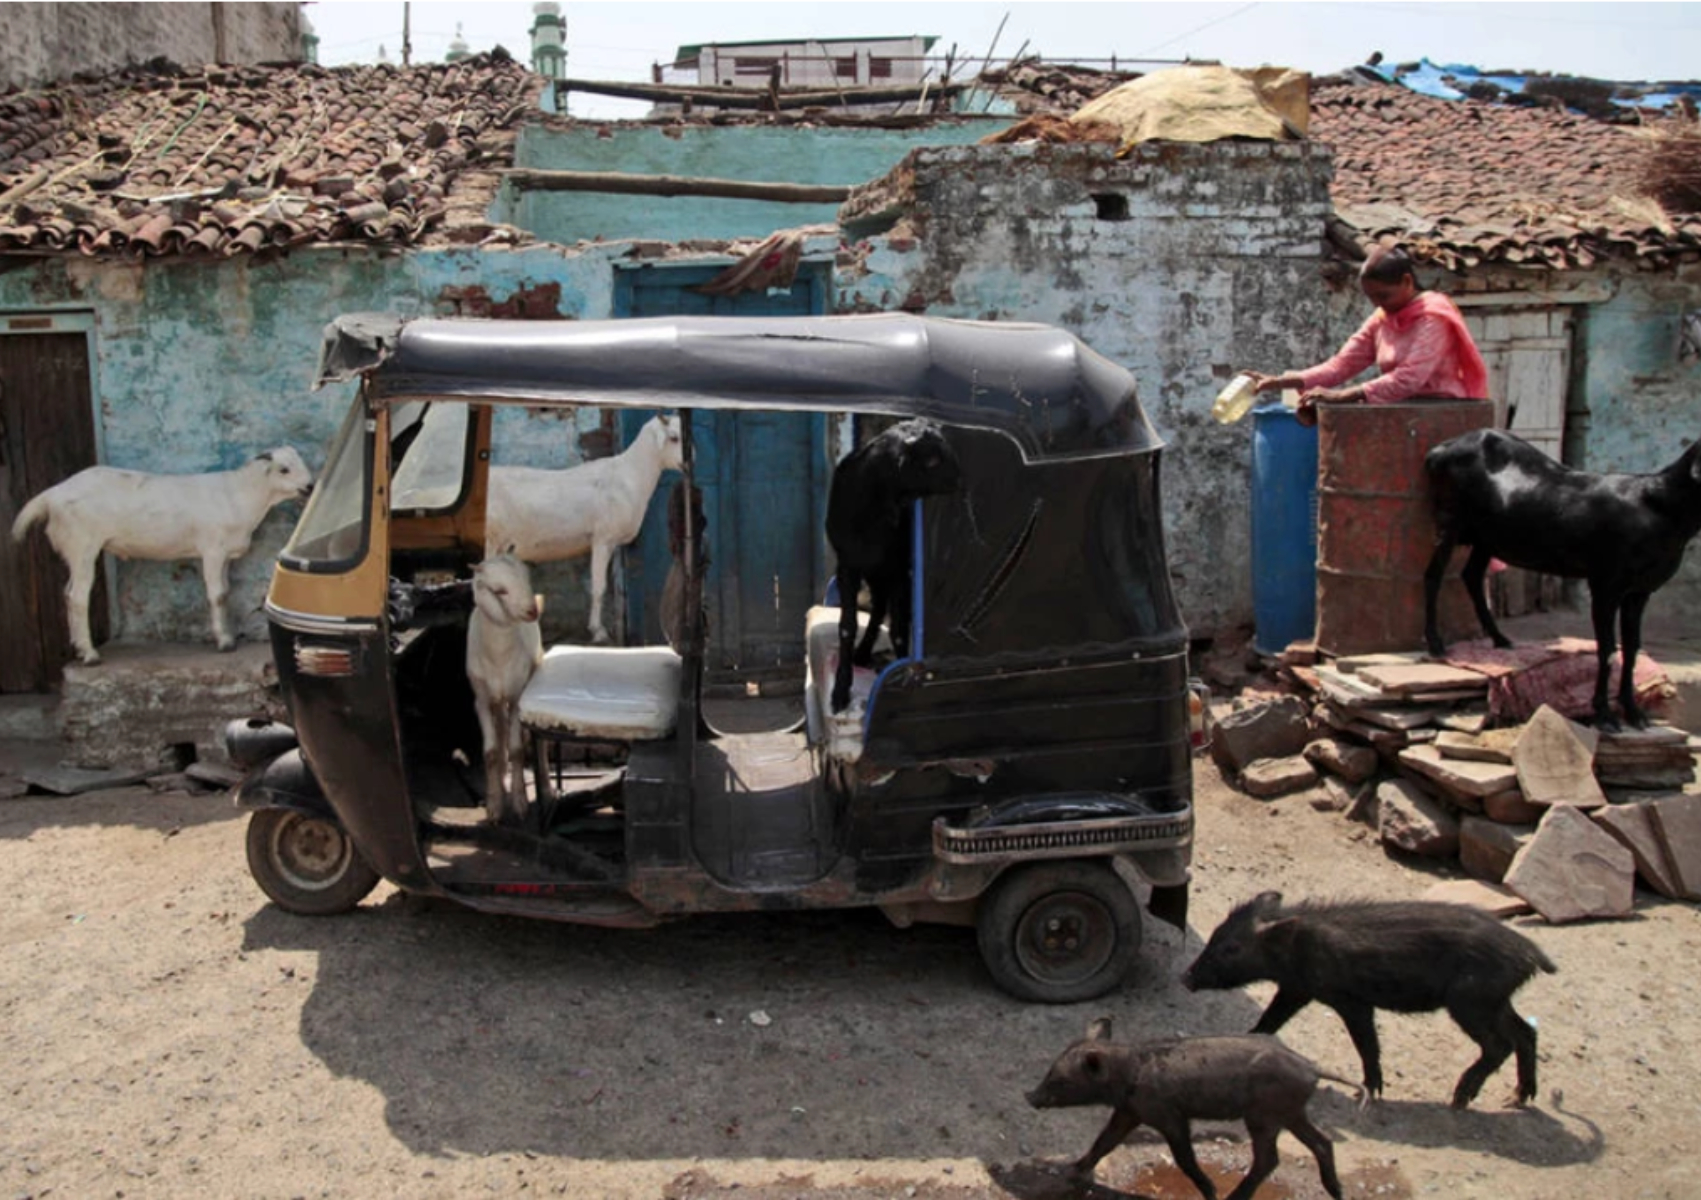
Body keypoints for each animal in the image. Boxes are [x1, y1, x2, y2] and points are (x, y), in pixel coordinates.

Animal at [466, 551, 544, 823]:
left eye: (527, 576)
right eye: (499, 590)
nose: (532, 610)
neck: (498, 655)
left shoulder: (517, 697)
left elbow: (517, 749)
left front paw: (520, 802)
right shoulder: (480, 699)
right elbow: (490, 752)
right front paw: (494, 804)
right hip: (496, 699)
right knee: (499, 731)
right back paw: (500, 777)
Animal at [486, 411, 683, 640]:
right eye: (674, 438)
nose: (689, 463)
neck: (629, 474)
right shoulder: (602, 538)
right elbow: (599, 587)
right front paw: (598, 631)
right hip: (490, 540)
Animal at [830, 418, 966, 711]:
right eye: (931, 461)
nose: (961, 479)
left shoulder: (899, 569)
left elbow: (900, 630)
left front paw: (906, 680)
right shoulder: (848, 565)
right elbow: (847, 627)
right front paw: (840, 691)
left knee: (885, 608)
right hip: (873, 571)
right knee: (879, 606)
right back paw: (862, 653)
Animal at [1422, 425, 1701, 725]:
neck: (1660, 507)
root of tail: (1441, 449)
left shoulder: (1639, 591)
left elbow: (1631, 648)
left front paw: (1633, 713)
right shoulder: (1606, 583)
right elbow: (1608, 649)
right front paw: (1604, 713)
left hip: (1488, 536)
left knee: (1471, 575)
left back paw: (1499, 638)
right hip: (1450, 519)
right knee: (1433, 575)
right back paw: (1436, 644)